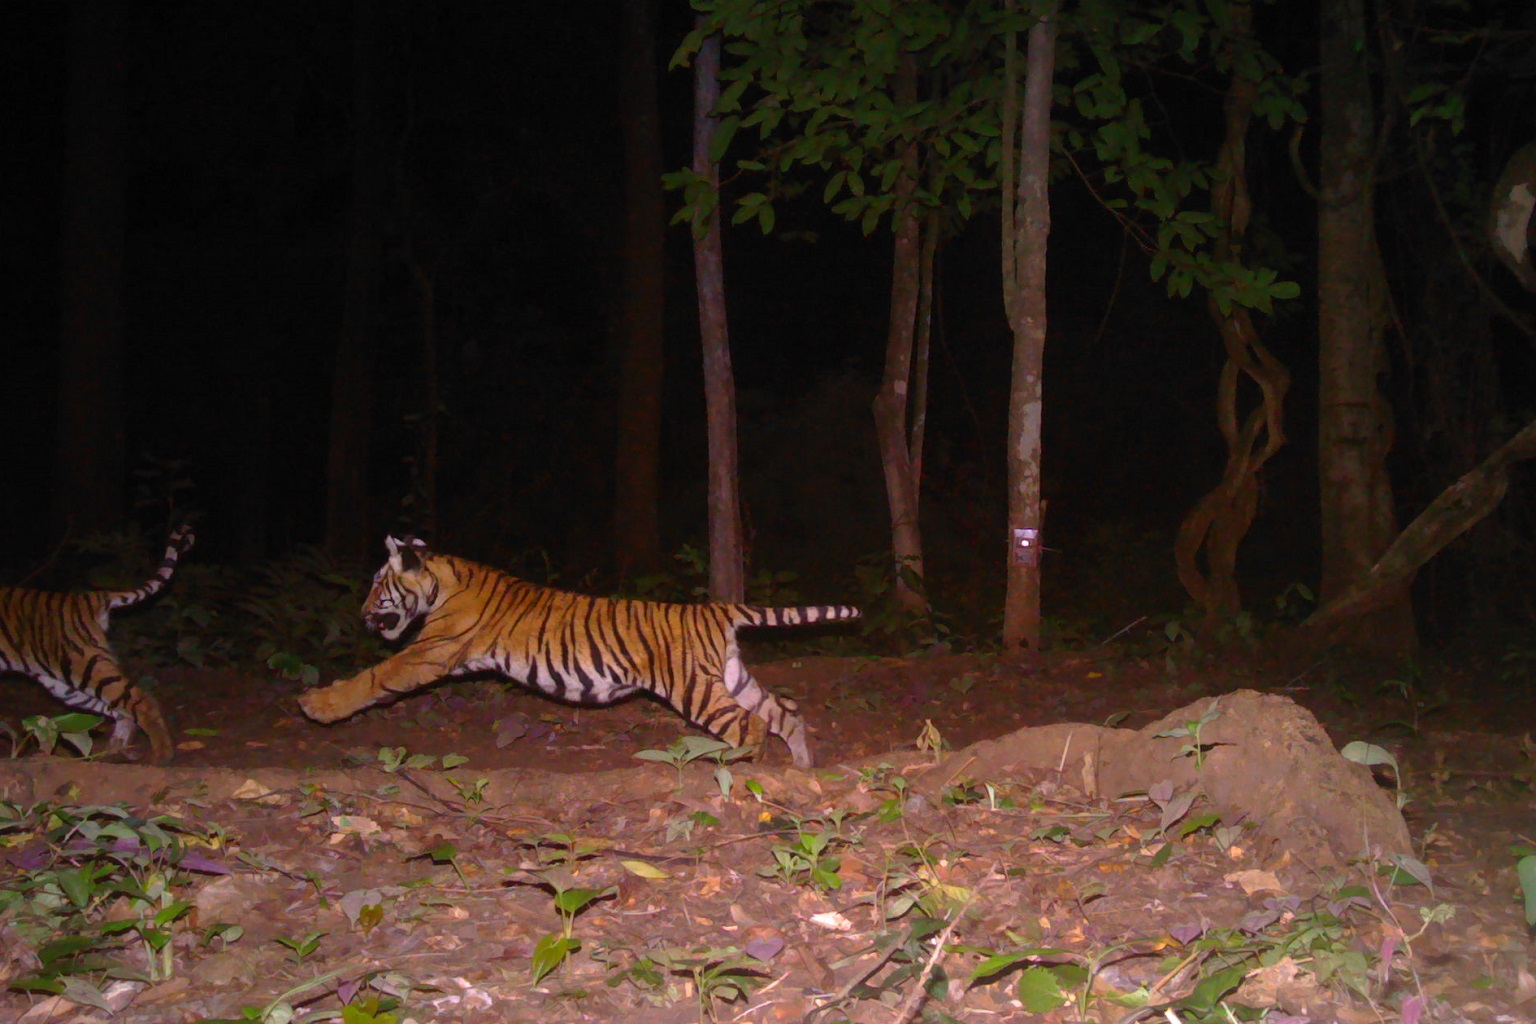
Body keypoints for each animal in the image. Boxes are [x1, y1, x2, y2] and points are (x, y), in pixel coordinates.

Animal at [0, 525, 193, 763]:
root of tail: (87, 597)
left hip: (85, 665)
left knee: (141, 700)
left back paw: (161, 755)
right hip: (66, 683)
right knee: (119, 710)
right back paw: (114, 750)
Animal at [298, 535, 859, 768]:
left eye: (377, 584)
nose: (362, 613)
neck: (443, 581)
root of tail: (715, 609)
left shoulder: (428, 651)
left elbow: (375, 675)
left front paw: (317, 706)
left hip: (695, 689)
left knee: (751, 726)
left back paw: (739, 767)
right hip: (730, 677)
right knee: (783, 712)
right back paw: (801, 768)